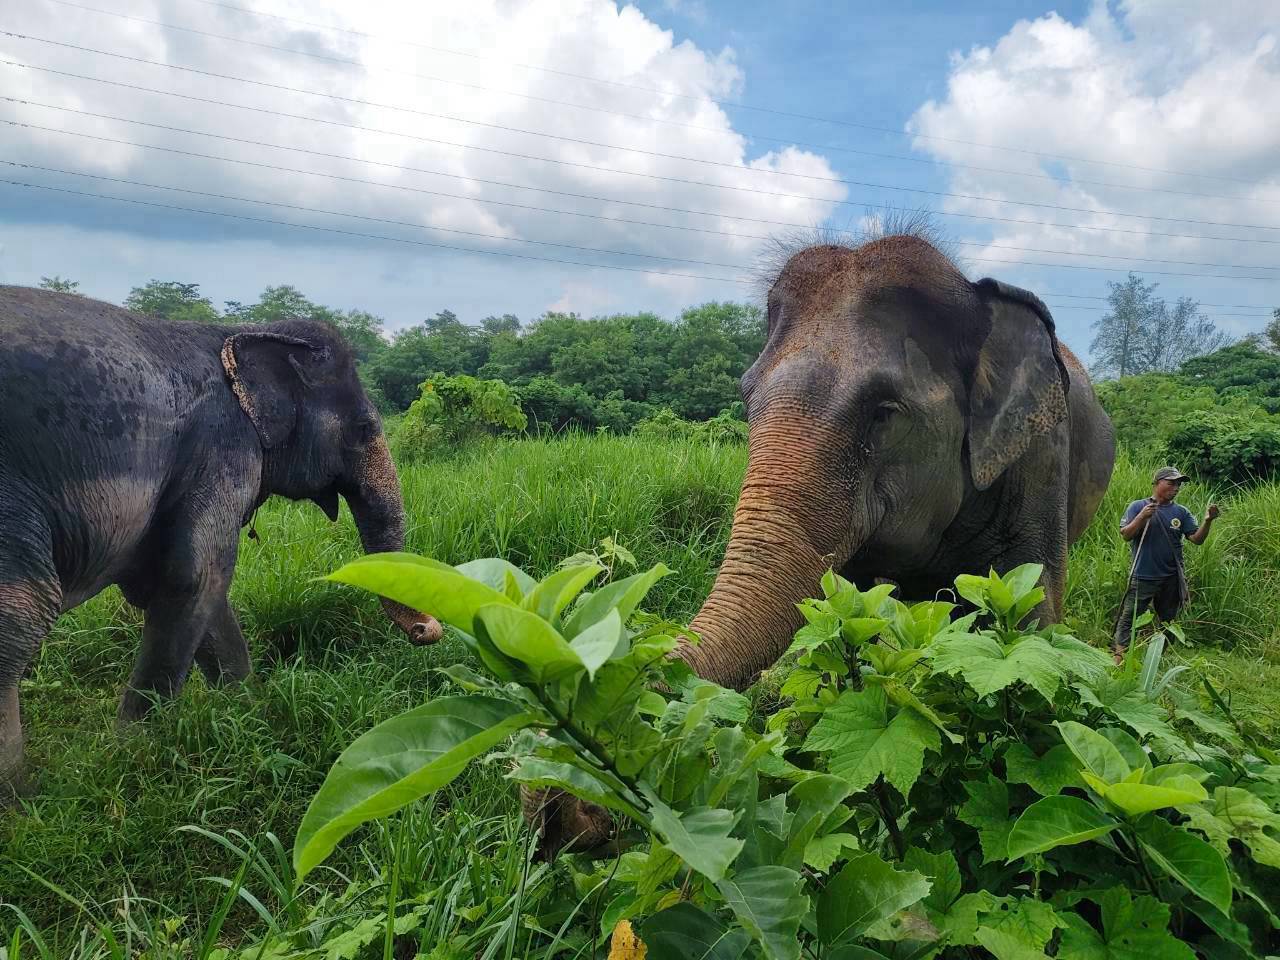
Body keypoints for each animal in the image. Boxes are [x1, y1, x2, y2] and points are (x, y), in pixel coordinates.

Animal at [0, 286, 440, 796]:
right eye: (365, 428)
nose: (428, 628)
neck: (242, 332)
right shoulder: (222, 447)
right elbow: (194, 574)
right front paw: (135, 755)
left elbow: (185, 584)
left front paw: (249, 713)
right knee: (21, 614)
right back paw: (20, 798)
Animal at [529, 232, 1116, 854]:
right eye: (746, 397)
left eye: (885, 412)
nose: (564, 811)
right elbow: (845, 618)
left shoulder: (1042, 462)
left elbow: (1030, 627)